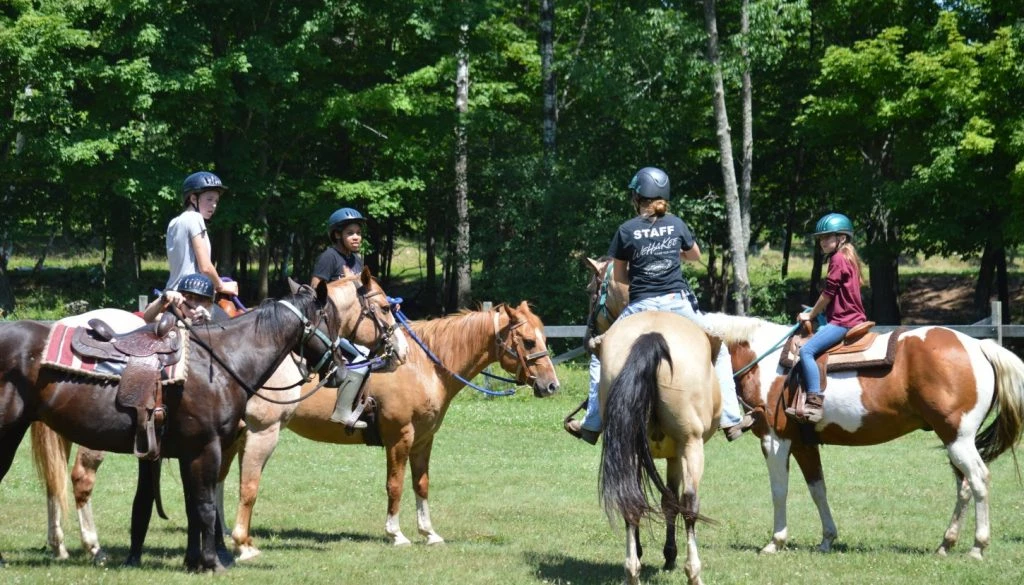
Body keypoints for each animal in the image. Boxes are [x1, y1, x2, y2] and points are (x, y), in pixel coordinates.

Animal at [700, 313, 1024, 561]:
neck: (764, 360)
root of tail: (979, 346)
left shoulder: (775, 439)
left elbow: (779, 490)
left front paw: (775, 541)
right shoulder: (804, 443)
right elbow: (818, 489)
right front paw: (827, 539)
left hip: (959, 438)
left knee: (979, 479)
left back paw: (978, 546)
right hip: (953, 440)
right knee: (964, 486)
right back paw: (946, 544)